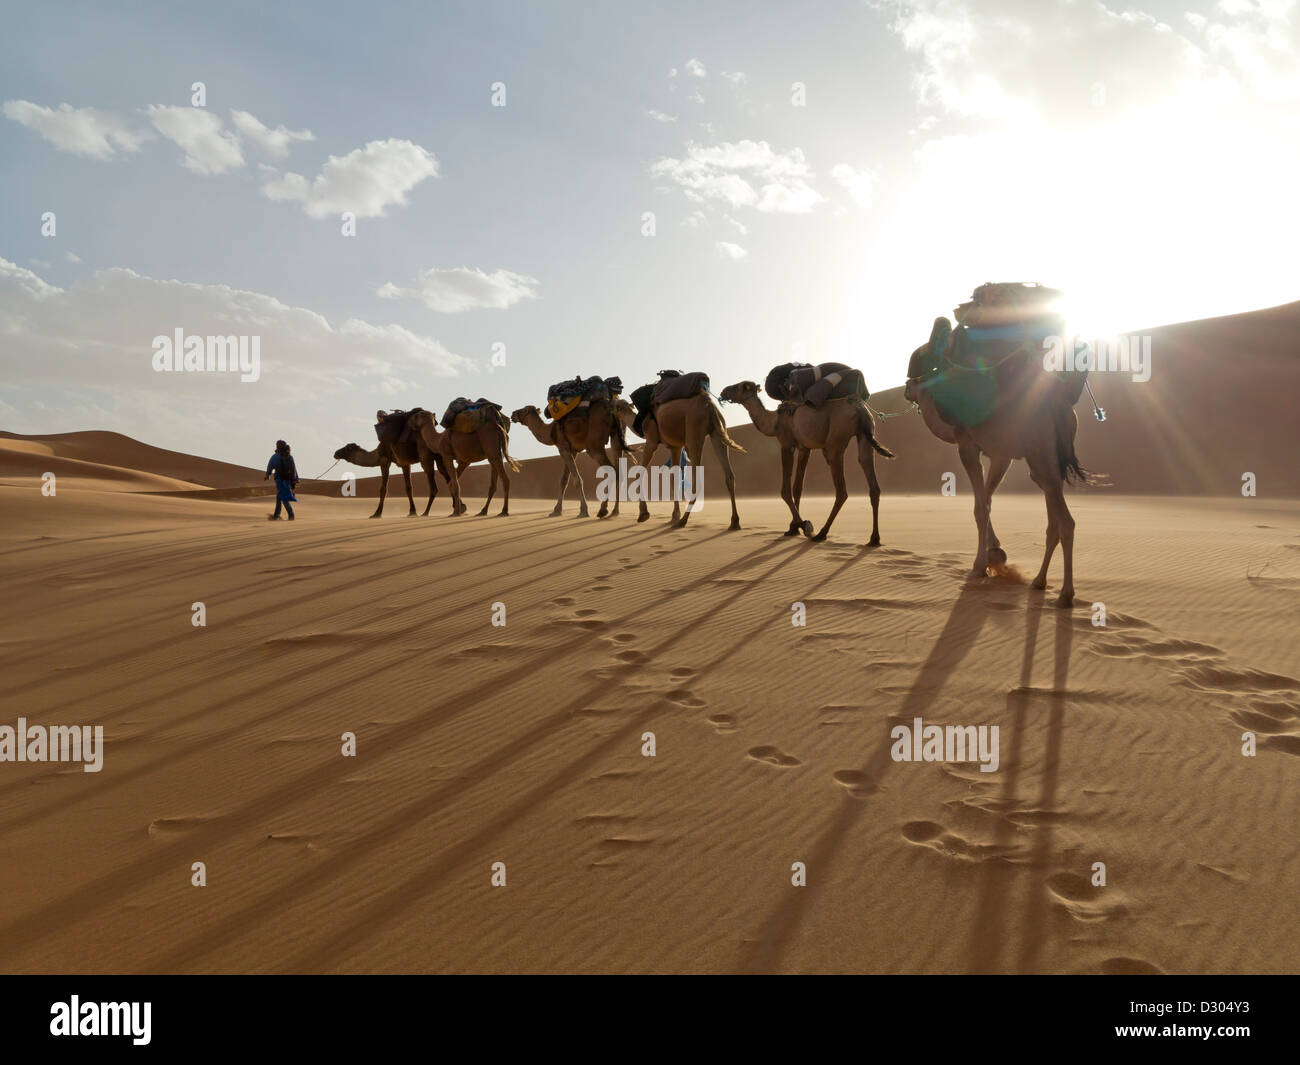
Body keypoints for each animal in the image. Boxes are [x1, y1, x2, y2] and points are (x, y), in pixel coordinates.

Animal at [637, 392, 748, 527]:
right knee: (729, 476)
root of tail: (709, 405)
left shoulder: (651, 439)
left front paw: (643, 513)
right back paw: (734, 521)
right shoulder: (675, 446)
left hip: (694, 432)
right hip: (717, 431)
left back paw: (683, 520)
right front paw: (674, 515)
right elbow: (675, 479)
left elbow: (640, 473)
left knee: (697, 481)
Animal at [717, 382, 889, 546]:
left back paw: (821, 533)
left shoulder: (786, 444)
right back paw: (874, 539)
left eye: (738, 386)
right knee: (870, 477)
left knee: (841, 491)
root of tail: (860, 409)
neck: (774, 422)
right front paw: (793, 528)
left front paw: (804, 525)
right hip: (865, 434)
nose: (724, 391)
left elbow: (785, 490)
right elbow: (797, 487)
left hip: (836, 441)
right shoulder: (804, 449)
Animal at [909, 335, 1092, 608]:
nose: (908, 386)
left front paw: (979, 567)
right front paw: (995, 554)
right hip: (1048, 465)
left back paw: (1065, 595)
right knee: (1053, 521)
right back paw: (1039, 581)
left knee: (1066, 522)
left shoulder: (967, 445)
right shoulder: (1000, 455)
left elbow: (980, 507)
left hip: (1040, 454)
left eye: (922, 368)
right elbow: (987, 500)